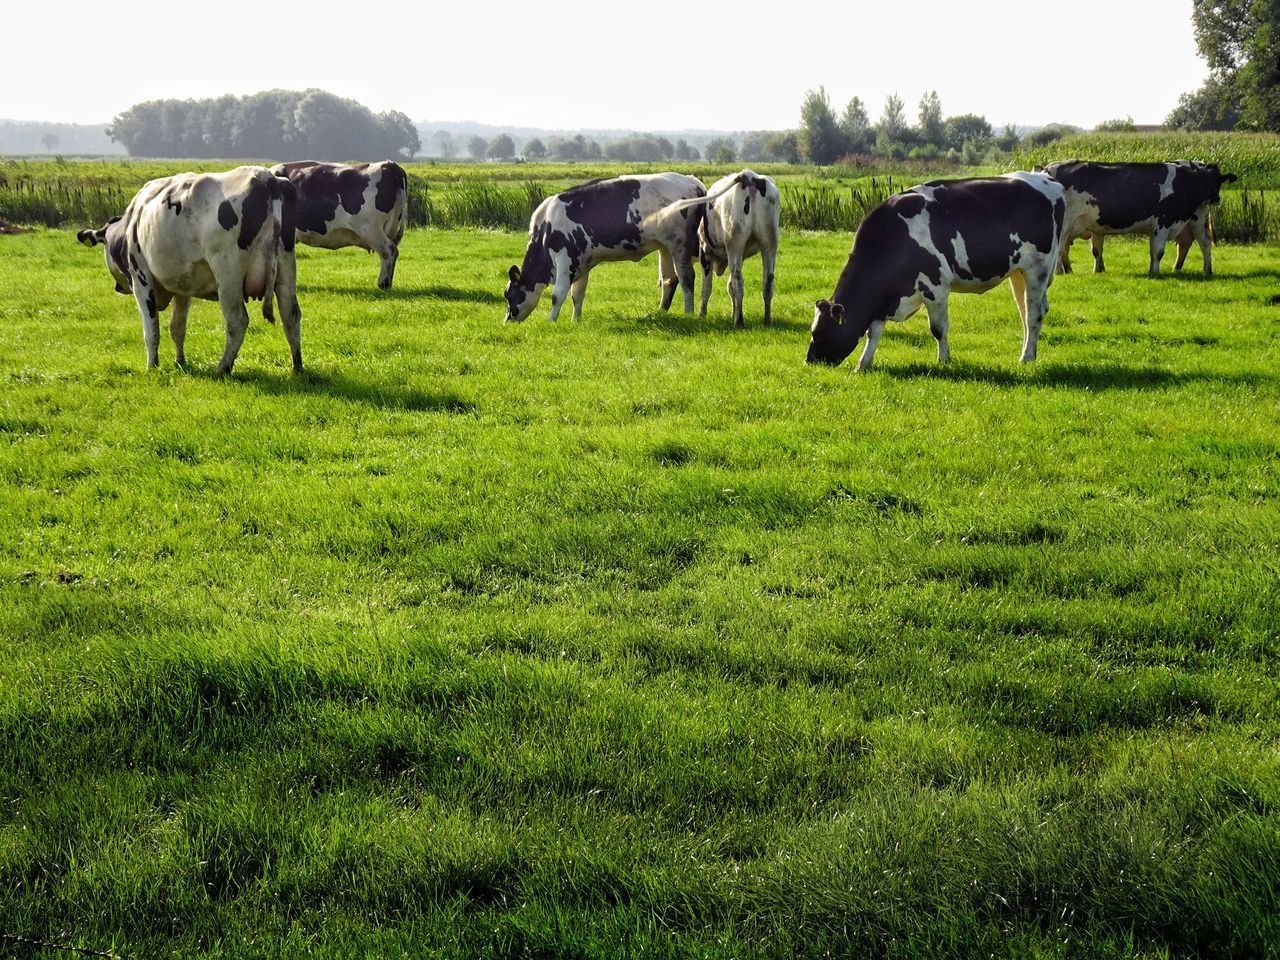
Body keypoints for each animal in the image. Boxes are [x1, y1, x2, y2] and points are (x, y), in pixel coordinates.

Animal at [77, 165, 302, 376]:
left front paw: (152, 366)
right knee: (290, 315)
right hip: (285, 268)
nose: (118, 287)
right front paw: (180, 362)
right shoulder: (183, 286)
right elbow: (177, 327)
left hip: (227, 273)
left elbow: (151, 330)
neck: (132, 222)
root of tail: (265, 177)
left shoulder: (141, 279)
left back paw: (223, 368)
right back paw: (297, 367)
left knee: (237, 320)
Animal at [501, 172, 706, 323]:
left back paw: (688, 314)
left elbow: (557, 294)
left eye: (509, 295)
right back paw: (660, 312)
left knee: (686, 278)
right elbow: (577, 294)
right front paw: (575, 320)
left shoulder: (565, 257)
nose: (507, 320)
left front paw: (551, 321)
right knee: (669, 280)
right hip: (665, 247)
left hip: (680, 245)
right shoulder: (582, 261)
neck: (547, 226)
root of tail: (691, 181)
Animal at [808, 171, 1070, 371]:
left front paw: (944, 360)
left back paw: (1026, 357)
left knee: (1034, 314)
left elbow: (938, 329)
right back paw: (1029, 352)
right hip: (1018, 272)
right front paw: (863, 364)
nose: (809, 361)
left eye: (819, 333)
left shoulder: (935, 286)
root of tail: (1046, 179)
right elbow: (874, 331)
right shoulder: (885, 298)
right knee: (1026, 312)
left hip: (1038, 268)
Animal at [1044, 160, 1233, 276]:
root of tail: (1048, 168)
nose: (1217, 199)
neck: (1183, 183)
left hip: (1197, 220)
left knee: (1204, 243)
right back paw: (1059, 271)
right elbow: (1158, 251)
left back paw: (1207, 270)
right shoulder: (1163, 222)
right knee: (1059, 248)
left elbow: (1153, 251)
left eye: (1219, 180)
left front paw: (1152, 271)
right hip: (1064, 225)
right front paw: (1155, 273)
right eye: (1213, 181)